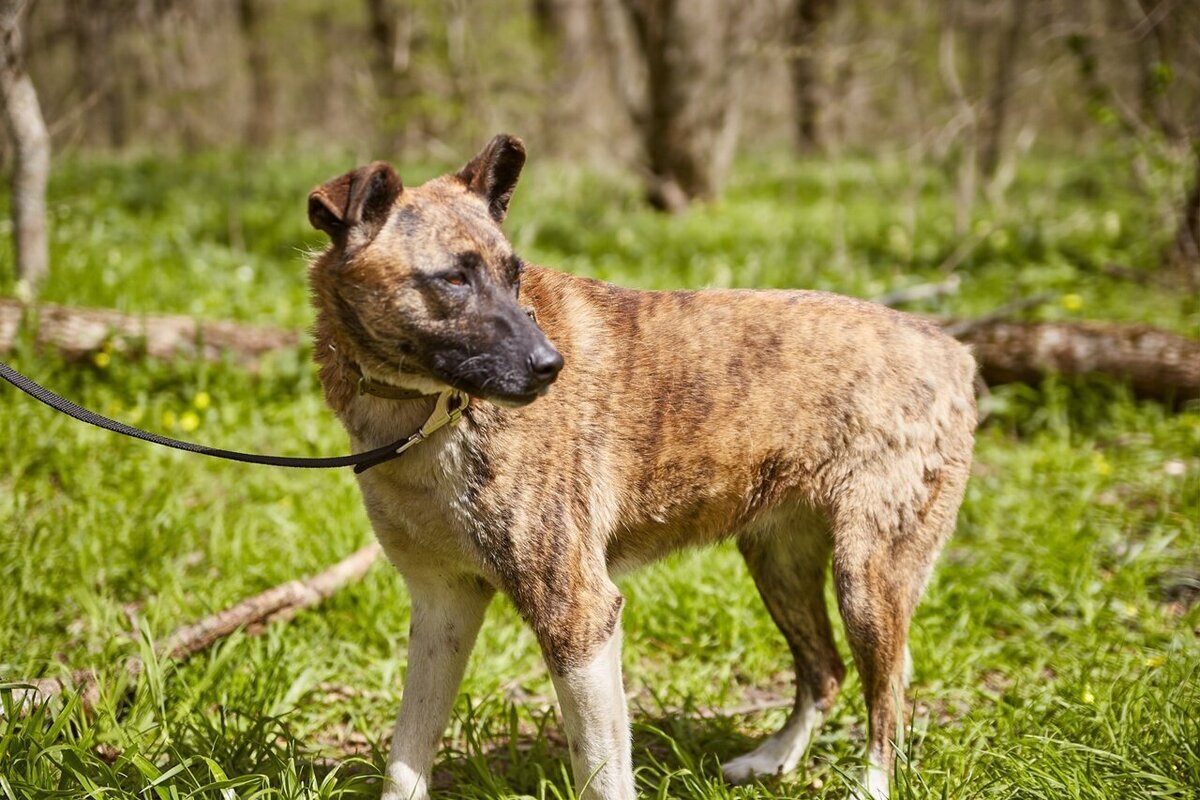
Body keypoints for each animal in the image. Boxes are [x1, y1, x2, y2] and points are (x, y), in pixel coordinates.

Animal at [307, 134, 974, 796]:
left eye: (515, 276)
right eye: (452, 279)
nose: (552, 366)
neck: (426, 413)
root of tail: (952, 349)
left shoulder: (579, 616)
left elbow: (602, 772)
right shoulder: (443, 606)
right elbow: (405, 761)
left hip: (866, 579)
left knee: (887, 704)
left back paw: (865, 781)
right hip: (778, 561)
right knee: (826, 671)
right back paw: (773, 759)